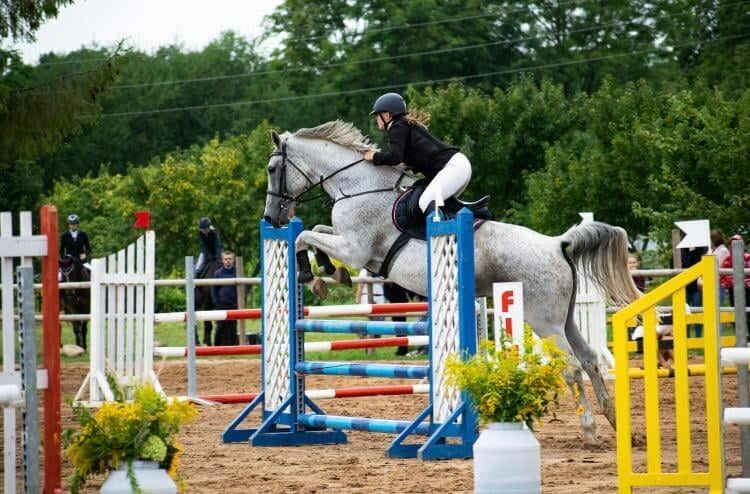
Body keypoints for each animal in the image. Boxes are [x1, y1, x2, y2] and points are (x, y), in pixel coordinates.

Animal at [261, 120, 642, 448]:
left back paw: (590, 430)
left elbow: (305, 236)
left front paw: (315, 276)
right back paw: (614, 421)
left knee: (573, 367)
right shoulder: (349, 246)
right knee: (590, 358)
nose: (271, 218)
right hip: (565, 317)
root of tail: (556, 244)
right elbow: (316, 232)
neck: (357, 187)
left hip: (544, 321)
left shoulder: (355, 249)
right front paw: (325, 273)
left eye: (271, 169)